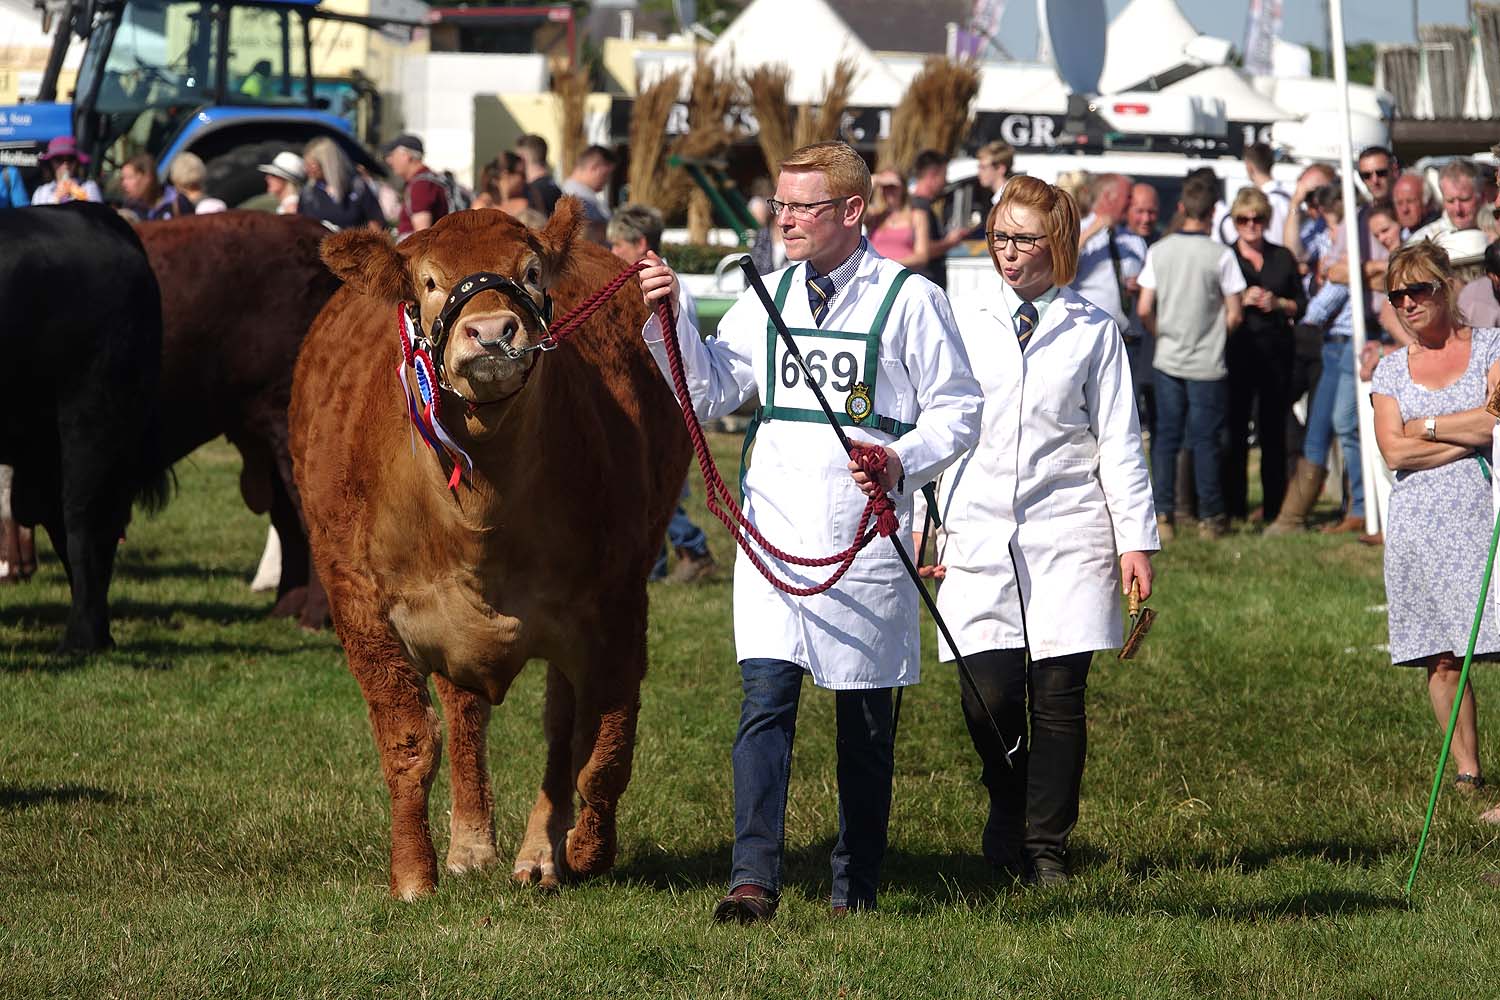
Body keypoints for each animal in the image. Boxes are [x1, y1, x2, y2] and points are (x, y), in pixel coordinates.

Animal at [286, 200, 690, 899]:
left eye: (530, 271)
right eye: (427, 281)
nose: (492, 331)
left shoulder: (617, 598)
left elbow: (602, 745)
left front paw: (587, 850)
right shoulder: (358, 600)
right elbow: (409, 740)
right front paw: (412, 873)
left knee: (559, 730)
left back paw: (539, 854)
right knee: (466, 712)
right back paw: (471, 844)